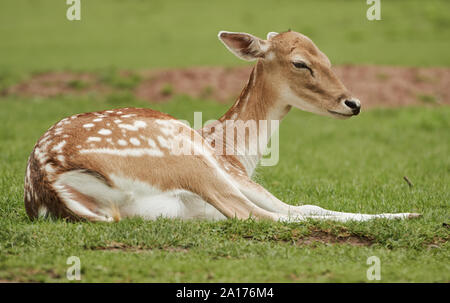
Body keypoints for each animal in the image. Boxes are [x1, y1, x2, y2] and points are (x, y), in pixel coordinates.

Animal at [23, 30, 418, 223]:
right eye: (300, 63)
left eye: (327, 57)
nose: (354, 103)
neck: (237, 150)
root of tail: (50, 182)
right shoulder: (234, 172)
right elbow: (303, 207)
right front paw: (409, 212)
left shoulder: (193, 211)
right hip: (186, 157)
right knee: (261, 216)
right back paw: (406, 214)